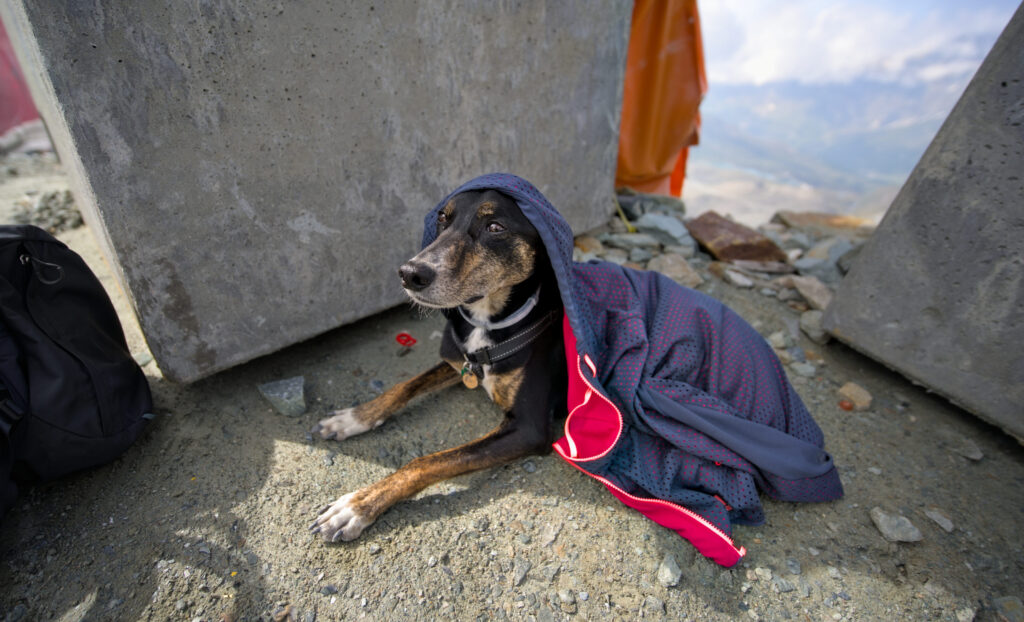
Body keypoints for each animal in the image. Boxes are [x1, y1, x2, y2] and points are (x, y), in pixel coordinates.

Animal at [311, 189, 569, 545]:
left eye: (495, 226)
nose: (409, 273)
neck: (488, 325)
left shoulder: (528, 428)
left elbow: (426, 462)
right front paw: (353, 418)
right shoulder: (462, 363)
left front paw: (357, 506)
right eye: (443, 218)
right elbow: (403, 386)